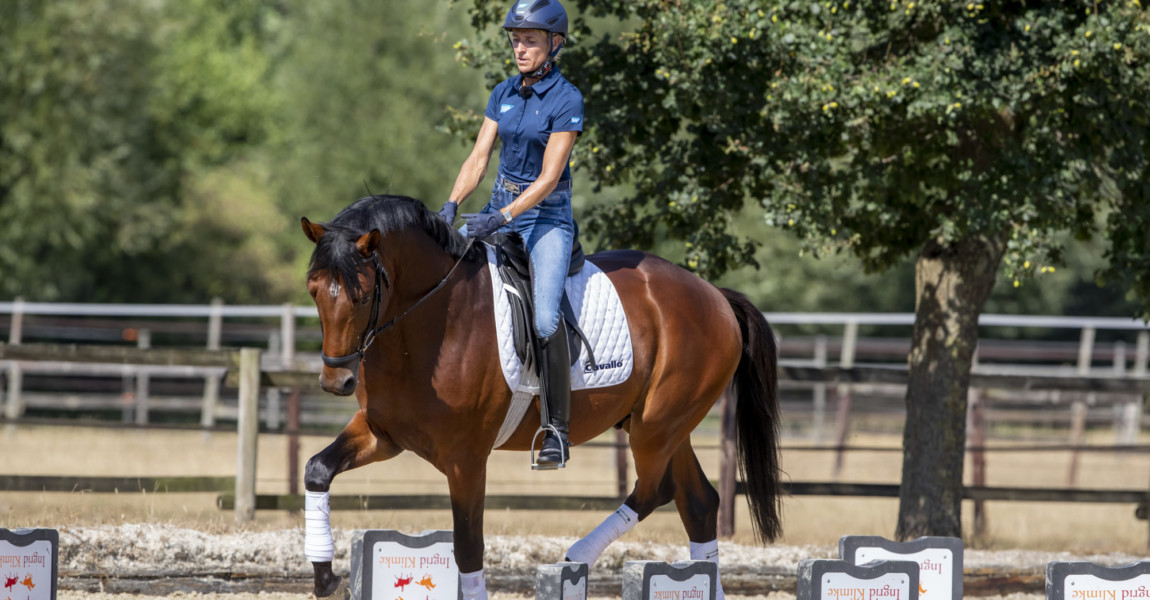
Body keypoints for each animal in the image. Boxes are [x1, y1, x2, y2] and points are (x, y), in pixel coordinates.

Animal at [299, 194, 782, 593]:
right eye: (314, 290)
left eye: (363, 296)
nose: (335, 382)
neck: (430, 320)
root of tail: (713, 294)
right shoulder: (384, 434)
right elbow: (317, 470)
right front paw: (324, 575)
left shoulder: (466, 459)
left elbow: (469, 547)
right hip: (664, 426)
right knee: (698, 503)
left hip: (656, 426)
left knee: (655, 490)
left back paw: (576, 556)